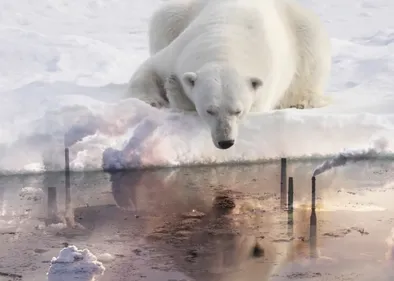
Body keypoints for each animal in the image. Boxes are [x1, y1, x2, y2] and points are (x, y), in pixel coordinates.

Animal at [124, 0, 330, 149]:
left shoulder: (267, 83)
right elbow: (149, 69)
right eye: (210, 110)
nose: (225, 142)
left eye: (238, 111)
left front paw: (173, 90)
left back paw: (302, 102)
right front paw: (154, 100)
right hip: (180, 13)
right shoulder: (178, 52)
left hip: (302, 30)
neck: (224, 46)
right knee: (164, 18)